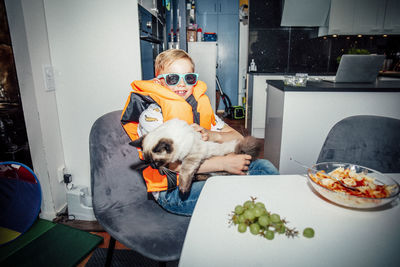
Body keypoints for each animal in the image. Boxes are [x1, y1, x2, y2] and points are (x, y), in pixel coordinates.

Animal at [128, 119, 260, 195]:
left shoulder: (193, 154)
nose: (153, 167)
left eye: (156, 163)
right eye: (148, 162)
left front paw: (183, 189)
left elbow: (184, 171)